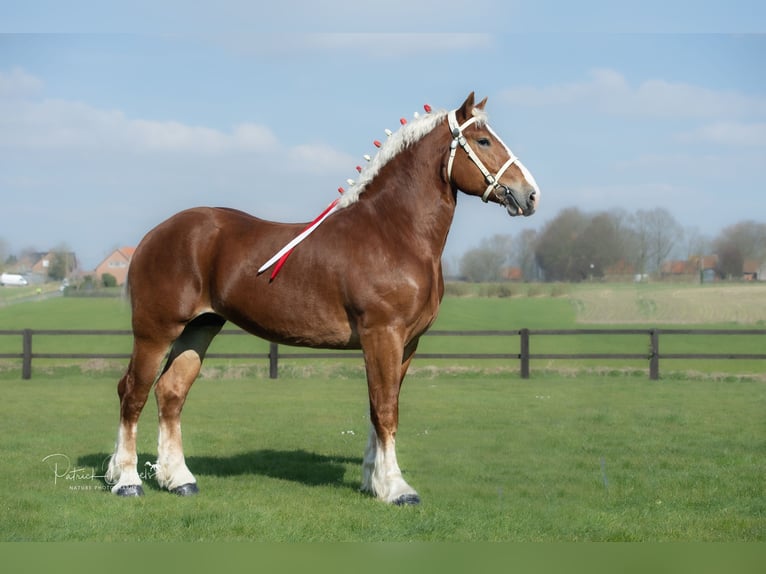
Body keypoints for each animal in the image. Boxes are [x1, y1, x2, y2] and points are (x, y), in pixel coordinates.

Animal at [105, 92, 540, 505]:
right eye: (483, 141)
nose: (531, 195)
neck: (393, 232)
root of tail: (153, 236)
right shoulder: (383, 334)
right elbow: (385, 410)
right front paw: (397, 489)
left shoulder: (406, 343)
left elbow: (378, 407)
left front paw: (373, 482)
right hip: (155, 332)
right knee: (132, 393)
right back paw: (126, 481)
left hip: (200, 329)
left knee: (170, 393)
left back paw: (179, 480)